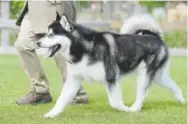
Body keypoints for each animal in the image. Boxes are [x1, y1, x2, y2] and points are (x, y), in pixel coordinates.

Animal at [37, 12, 185, 118]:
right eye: (45, 34)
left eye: (51, 35)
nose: (37, 42)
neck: (83, 49)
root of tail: (155, 36)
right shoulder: (74, 80)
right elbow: (61, 99)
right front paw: (51, 114)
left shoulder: (111, 78)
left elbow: (115, 102)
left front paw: (125, 109)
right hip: (159, 76)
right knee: (173, 85)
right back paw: (181, 99)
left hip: (144, 76)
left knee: (142, 94)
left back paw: (134, 108)